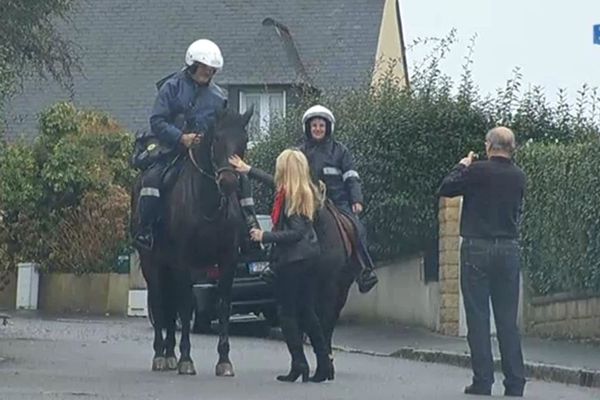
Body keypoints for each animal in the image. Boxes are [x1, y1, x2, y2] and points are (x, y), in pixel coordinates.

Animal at [130, 106, 252, 376]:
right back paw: (160, 355)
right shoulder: (184, 262)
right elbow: (186, 307)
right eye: (217, 138)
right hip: (152, 263)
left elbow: (224, 305)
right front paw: (186, 358)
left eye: (244, 140)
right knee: (159, 302)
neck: (208, 204)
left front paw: (224, 360)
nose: (229, 182)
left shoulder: (227, 261)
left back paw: (169, 354)